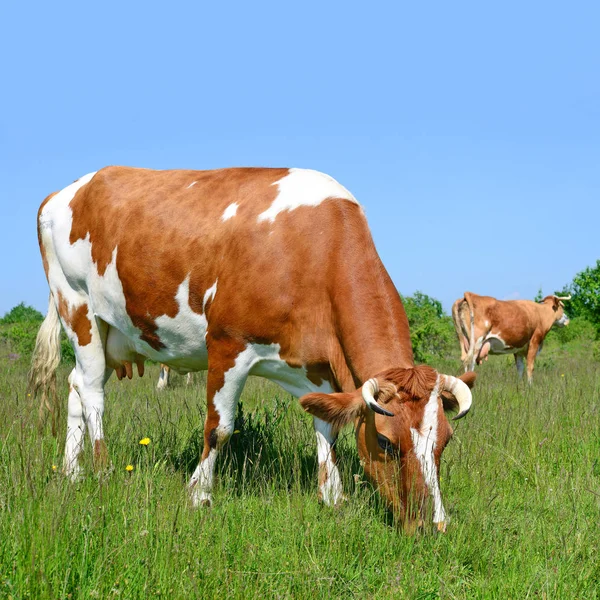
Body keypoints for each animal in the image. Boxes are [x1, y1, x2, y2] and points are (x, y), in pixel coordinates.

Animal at [31, 166, 474, 532]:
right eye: (385, 442)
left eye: (446, 440)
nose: (433, 525)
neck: (314, 250)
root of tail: (66, 190)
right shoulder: (228, 345)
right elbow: (219, 427)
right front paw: (199, 494)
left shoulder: (318, 366)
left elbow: (326, 424)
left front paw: (332, 497)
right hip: (78, 309)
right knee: (93, 393)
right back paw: (102, 471)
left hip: (113, 333)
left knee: (74, 384)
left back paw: (72, 472)